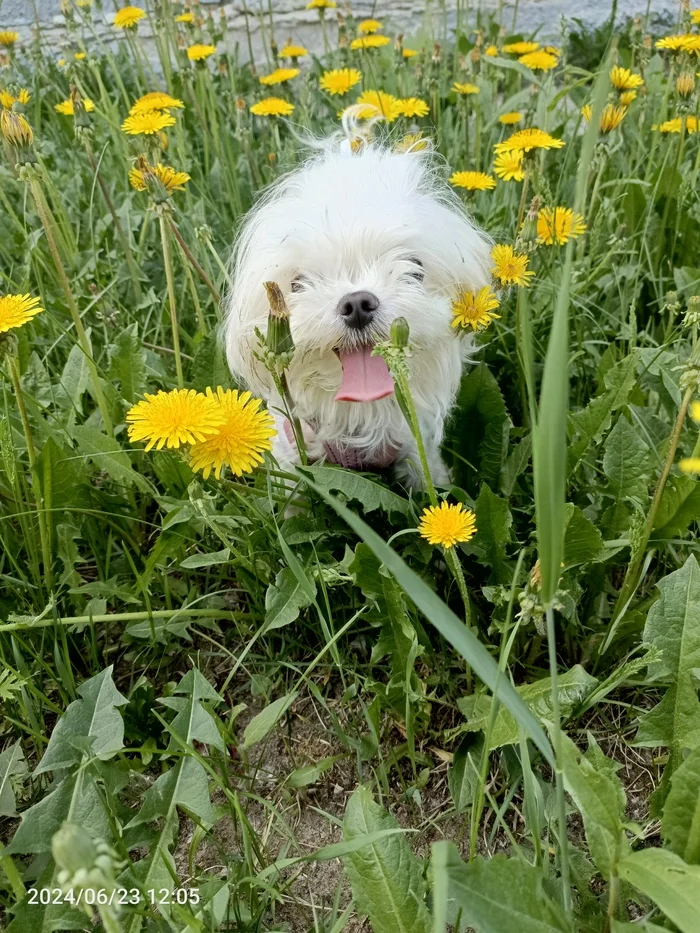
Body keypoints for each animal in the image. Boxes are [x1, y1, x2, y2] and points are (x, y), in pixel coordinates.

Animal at [226, 131, 492, 488]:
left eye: (414, 268)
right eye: (298, 283)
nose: (357, 304)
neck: (360, 415)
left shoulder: (417, 448)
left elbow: (429, 484)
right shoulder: (291, 453)